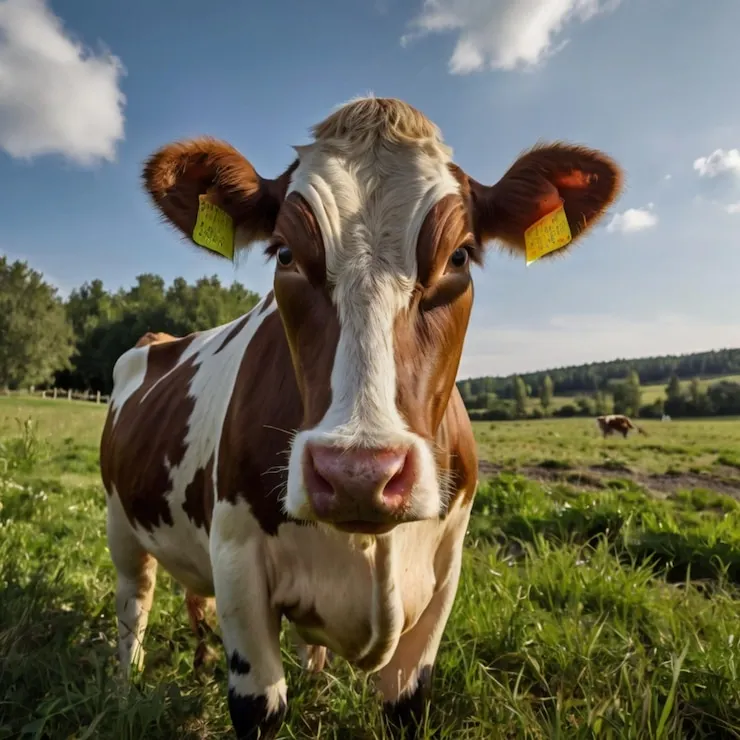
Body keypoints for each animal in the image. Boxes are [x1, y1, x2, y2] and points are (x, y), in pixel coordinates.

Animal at [101, 96, 622, 739]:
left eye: (459, 255)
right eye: (284, 253)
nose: (358, 475)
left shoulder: (444, 573)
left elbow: (405, 703)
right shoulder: (237, 560)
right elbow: (258, 706)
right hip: (120, 522)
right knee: (135, 603)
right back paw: (125, 689)